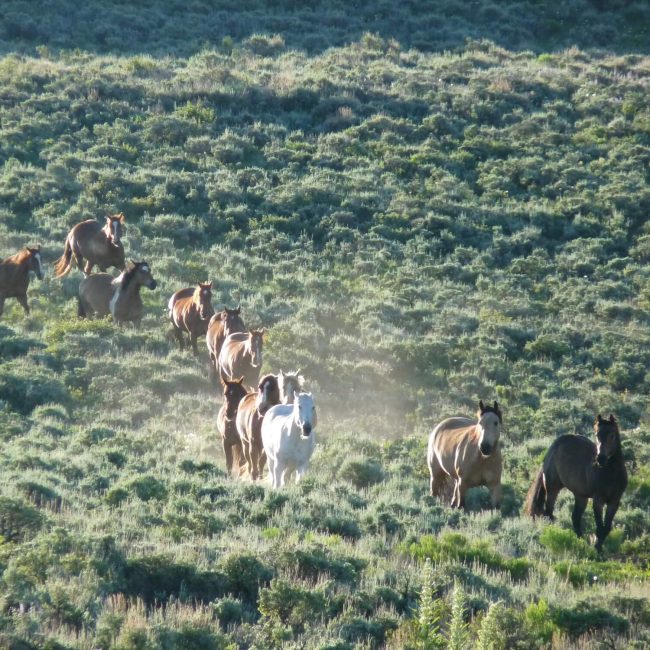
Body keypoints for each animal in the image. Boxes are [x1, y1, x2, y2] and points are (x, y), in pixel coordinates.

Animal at [525, 414, 627, 552]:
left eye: (611, 435)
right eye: (597, 435)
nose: (600, 459)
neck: (611, 474)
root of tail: (553, 447)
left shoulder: (614, 502)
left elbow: (606, 528)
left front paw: (597, 548)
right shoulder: (598, 501)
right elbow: (600, 528)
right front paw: (597, 550)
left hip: (581, 497)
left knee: (575, 518)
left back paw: (581, 541)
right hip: (553, 489)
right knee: (549, 513)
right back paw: (551, 533)